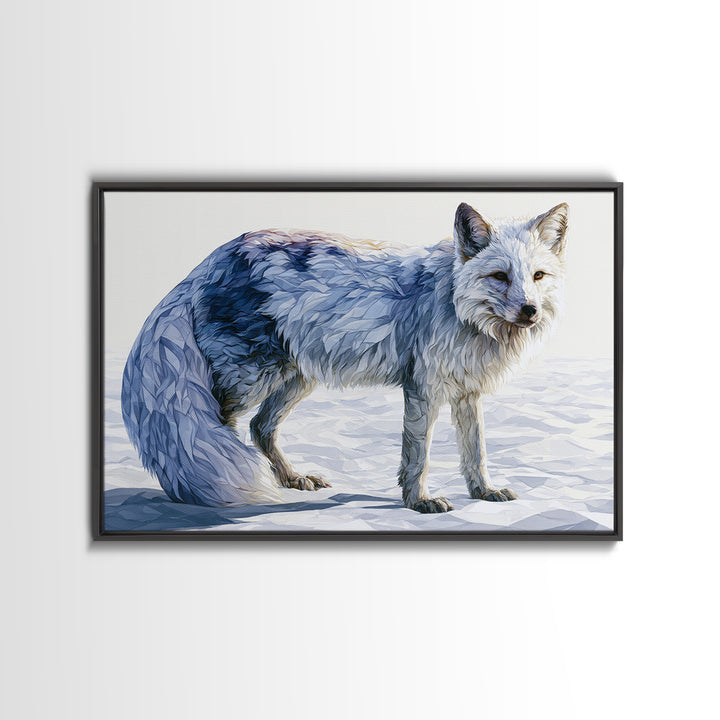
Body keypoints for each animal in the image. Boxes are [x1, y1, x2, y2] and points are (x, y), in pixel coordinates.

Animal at [121, 201, 568, 513]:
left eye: (537, 277)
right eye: (500, 277)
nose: (529, 310)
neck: (457, 307)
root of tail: (210, 260)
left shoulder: (467, 393)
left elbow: (475, 452)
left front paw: (483, 492)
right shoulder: (421, 389)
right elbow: (418, 457)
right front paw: (418, 502)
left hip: (296, 378)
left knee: (260, 428)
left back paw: (290, 478)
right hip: (249, 377)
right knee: (218, 426)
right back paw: (217, 486)